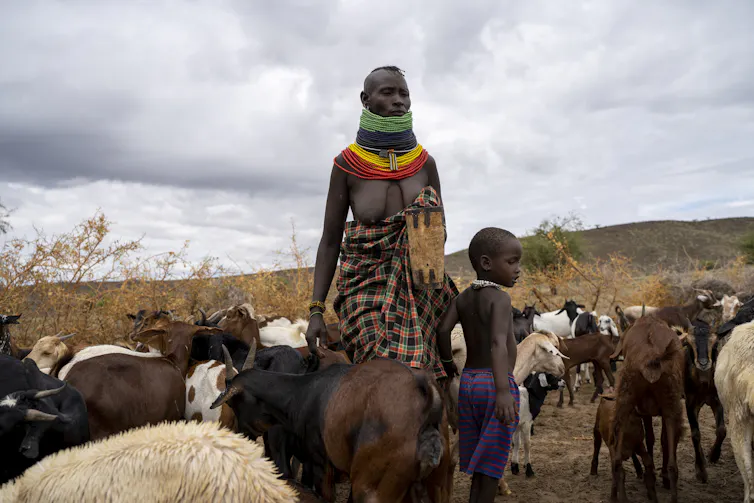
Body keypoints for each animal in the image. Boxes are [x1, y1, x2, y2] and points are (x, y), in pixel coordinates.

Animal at [211, 344, 452, 503]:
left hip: (371, 490)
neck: (304, 392)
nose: (242, 434)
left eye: (232, 402)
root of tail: (425, 396)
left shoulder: (321, 466)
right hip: (437, 486)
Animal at [611, 314, 685, 503]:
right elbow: (657, 439)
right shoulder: (652, 413)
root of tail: (652, 359)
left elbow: (652, 439)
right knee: (672, 463)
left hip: (626, 403)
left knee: (617, 461)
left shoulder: (645, 412)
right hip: (670, 407)